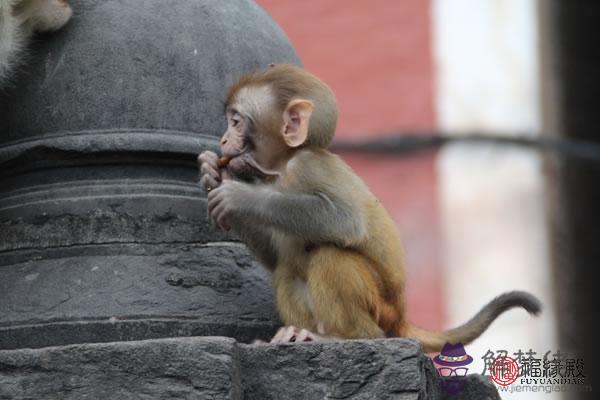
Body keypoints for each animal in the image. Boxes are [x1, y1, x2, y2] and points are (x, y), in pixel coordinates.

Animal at [198, 64, 544, 352]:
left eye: (236, 121)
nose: (224, 138)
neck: (281, 168)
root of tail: (401, 315)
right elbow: (274, 257)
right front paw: (213, 173)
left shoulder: (308, 166)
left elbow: (345, 220)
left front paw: (239, 196)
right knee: (287, 269)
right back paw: (297, 333)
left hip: (380, 308)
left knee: (330, 255)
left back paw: (344, 337)